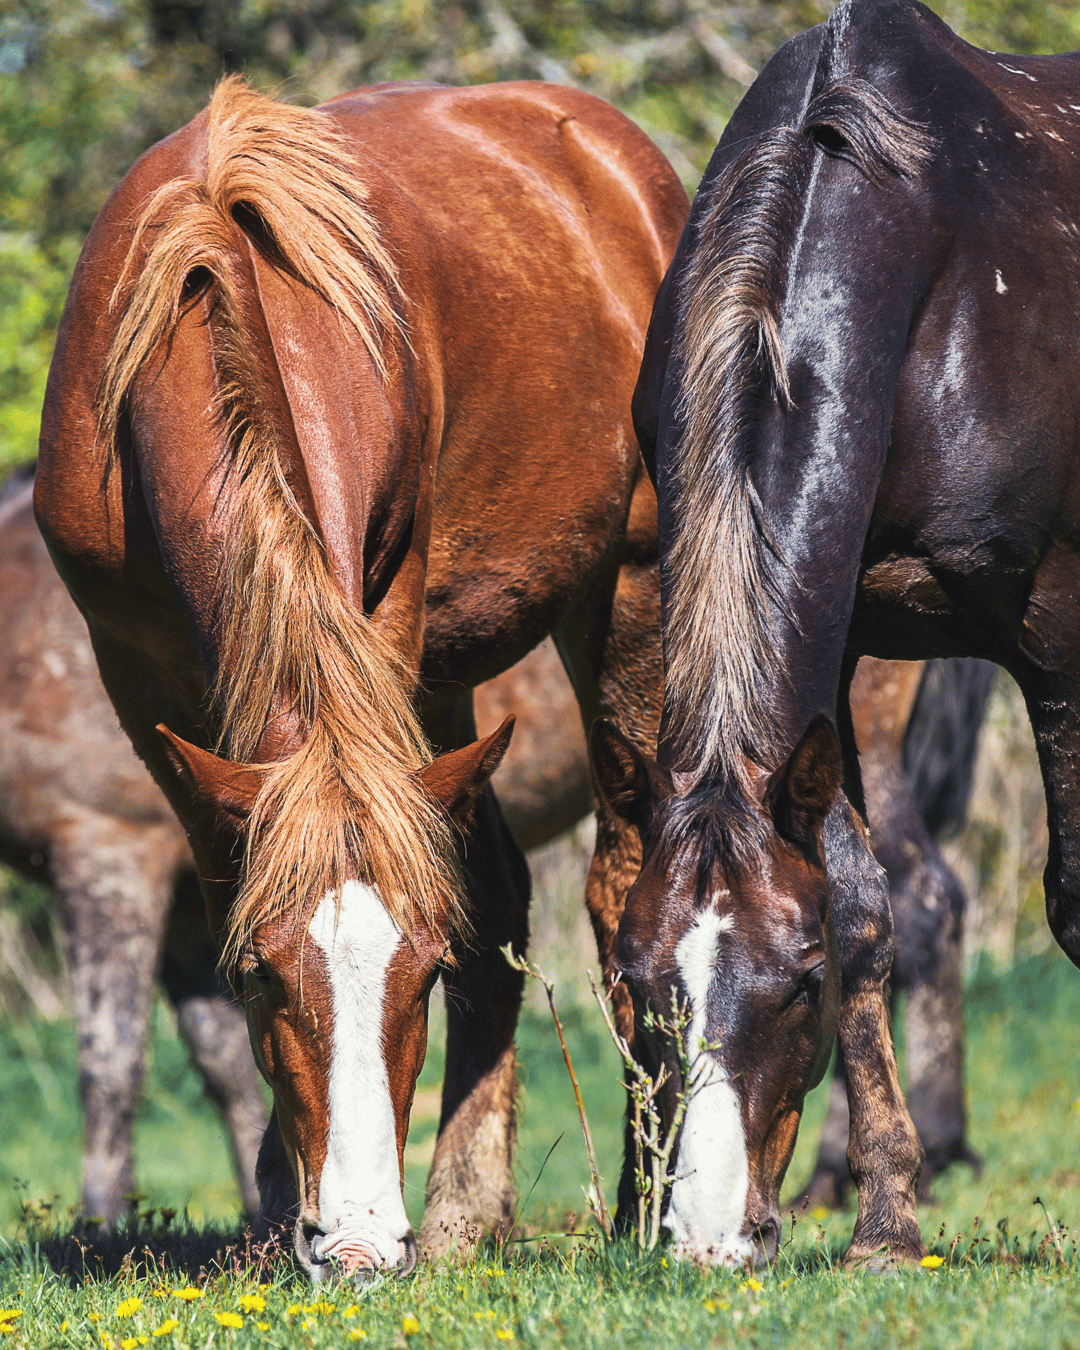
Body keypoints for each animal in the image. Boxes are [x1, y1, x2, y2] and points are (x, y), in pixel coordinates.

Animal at [37, 76, 688, 1279]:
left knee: (625, 878)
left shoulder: (383, 620)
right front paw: (271, 1210)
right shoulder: (140, 679)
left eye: (421, 973)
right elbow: (231, 878)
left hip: (627, 595)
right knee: (499, 882)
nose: (358, 1246)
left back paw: (640, 1202)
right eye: (261, 974)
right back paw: (470, 1212)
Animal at [595, 0, 1073, 1265]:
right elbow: (868, 908)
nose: (713, 1236)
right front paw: (888, 1219)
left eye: (792, 985)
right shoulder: (839, 651)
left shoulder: (1057, 631)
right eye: (637, 985)